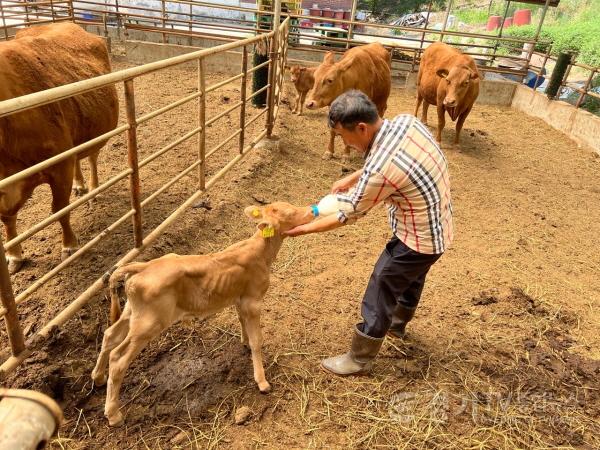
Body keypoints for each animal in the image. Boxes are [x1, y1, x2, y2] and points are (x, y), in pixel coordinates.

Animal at [0, 23, 118, 270]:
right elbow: (7, 218)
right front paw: (14, 255)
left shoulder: (60, 164)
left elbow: (60, 209)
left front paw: (70, 246)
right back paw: (81, 185)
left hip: (95, 133)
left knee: (91, 158)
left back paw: (93, 189)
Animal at [91, 202, 314, 428]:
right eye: (290, 212)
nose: (310, 212)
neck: (261, 251)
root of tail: (143, 265)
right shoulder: (253, 300)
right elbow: (256, 341)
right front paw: (262, 381)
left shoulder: (239, 298)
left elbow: (242, 321)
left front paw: (243, 341)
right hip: (149, 323)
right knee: (118, 358)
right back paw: (114, 414)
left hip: (133, 313)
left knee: (109, 335)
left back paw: (98, 377)